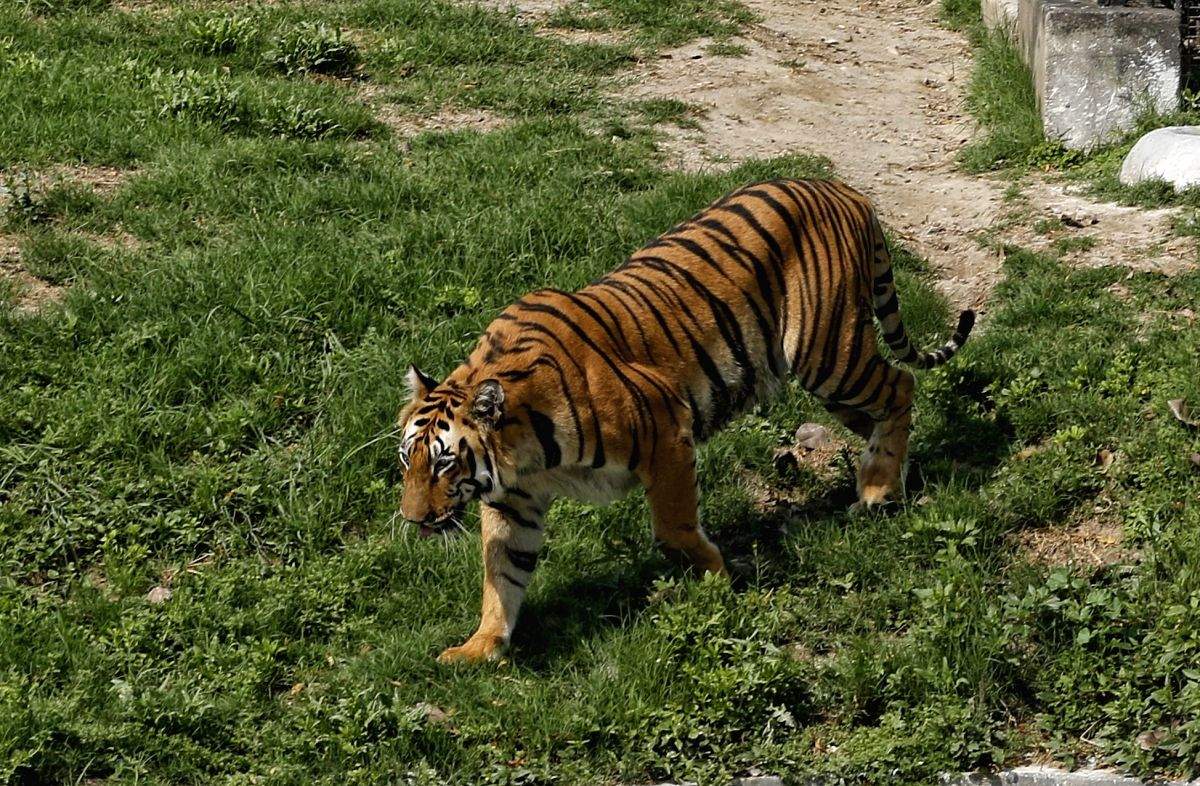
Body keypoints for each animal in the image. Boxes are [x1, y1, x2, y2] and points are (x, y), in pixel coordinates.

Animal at [397, 178, 974, 664]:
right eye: (408, 460)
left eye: (445, 463)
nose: (410, 518)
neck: (527, 451)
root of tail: (844, 190)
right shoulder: (514, 499)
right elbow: (501, 572)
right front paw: (480, 648)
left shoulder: (666, 430)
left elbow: (673, 528)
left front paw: (719, 579)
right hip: (830, 379)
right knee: (880, 412)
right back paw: (891, 476)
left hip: (829, 352)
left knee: (902, 384)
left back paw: (878, 488)